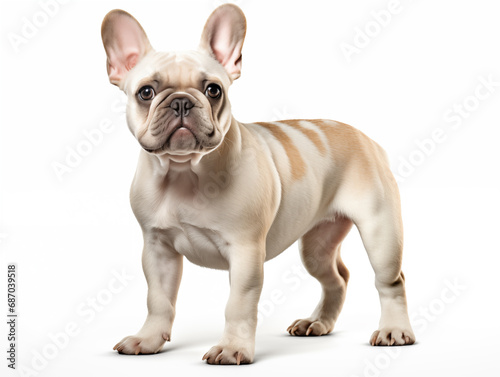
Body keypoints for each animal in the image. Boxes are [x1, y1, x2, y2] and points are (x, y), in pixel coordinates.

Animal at [100, 3, 414, 364]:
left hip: (380, 232)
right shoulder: (157, 249)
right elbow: (158, 300)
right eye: (146, 92)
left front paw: (232, 348)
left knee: (391, 280)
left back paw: (394, 330)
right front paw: (148, 339)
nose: (181, 101)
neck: (184, 171)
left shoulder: (245, 250)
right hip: (316, 245)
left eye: (213, 90)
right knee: (336, 277)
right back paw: (317, 322)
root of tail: (367, 139)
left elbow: (238, 304)